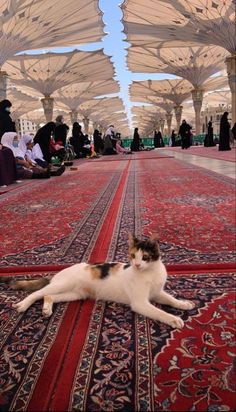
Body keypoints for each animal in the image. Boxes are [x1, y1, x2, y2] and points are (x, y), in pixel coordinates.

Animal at [11, 235, 195, 328]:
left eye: (145, 257)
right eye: (133, 256)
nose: (136, 264)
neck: (150, 272)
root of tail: (59, 273)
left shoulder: (157, 293)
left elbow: (171, 299)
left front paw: (184, 304)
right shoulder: (140, 303)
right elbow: (159, 312)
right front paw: (173, 319)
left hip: (74, 294)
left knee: (48, 296)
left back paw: (46, 309)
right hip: (62, 284)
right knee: (37, 293)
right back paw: (22, 305)